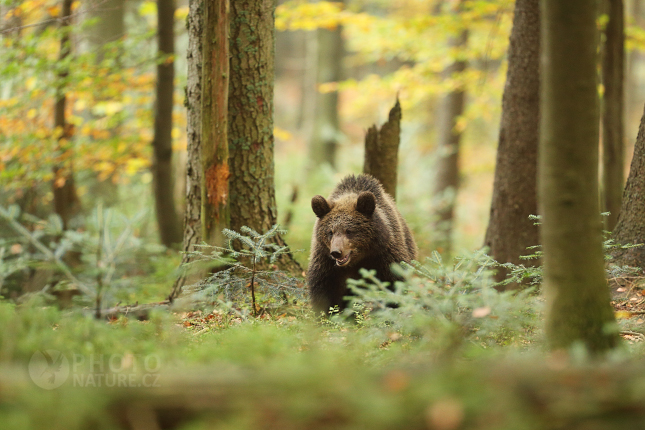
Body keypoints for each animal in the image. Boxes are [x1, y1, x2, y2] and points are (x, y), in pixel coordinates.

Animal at [306, 174, 418, 312]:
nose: (336, 252)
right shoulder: (326, 263)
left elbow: (394, 284)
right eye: (330, 232)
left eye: (349, 231)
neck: (357, 261)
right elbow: (324, 292)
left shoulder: (385, 256)